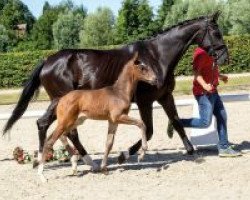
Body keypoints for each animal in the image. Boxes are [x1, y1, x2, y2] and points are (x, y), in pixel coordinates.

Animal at [2, 12, 229, 164]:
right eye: (216, 32)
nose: (225, 57)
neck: (157, 57)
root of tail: (47, 60)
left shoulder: (165, 96)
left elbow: (177, 122)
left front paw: (190, 150)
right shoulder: (145, 101)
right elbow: (149, 129)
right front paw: (123, 155)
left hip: (59, 103)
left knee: (43, 123)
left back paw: (44, 159)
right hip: (62, 101)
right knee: (63, 128)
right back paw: (86, 161)